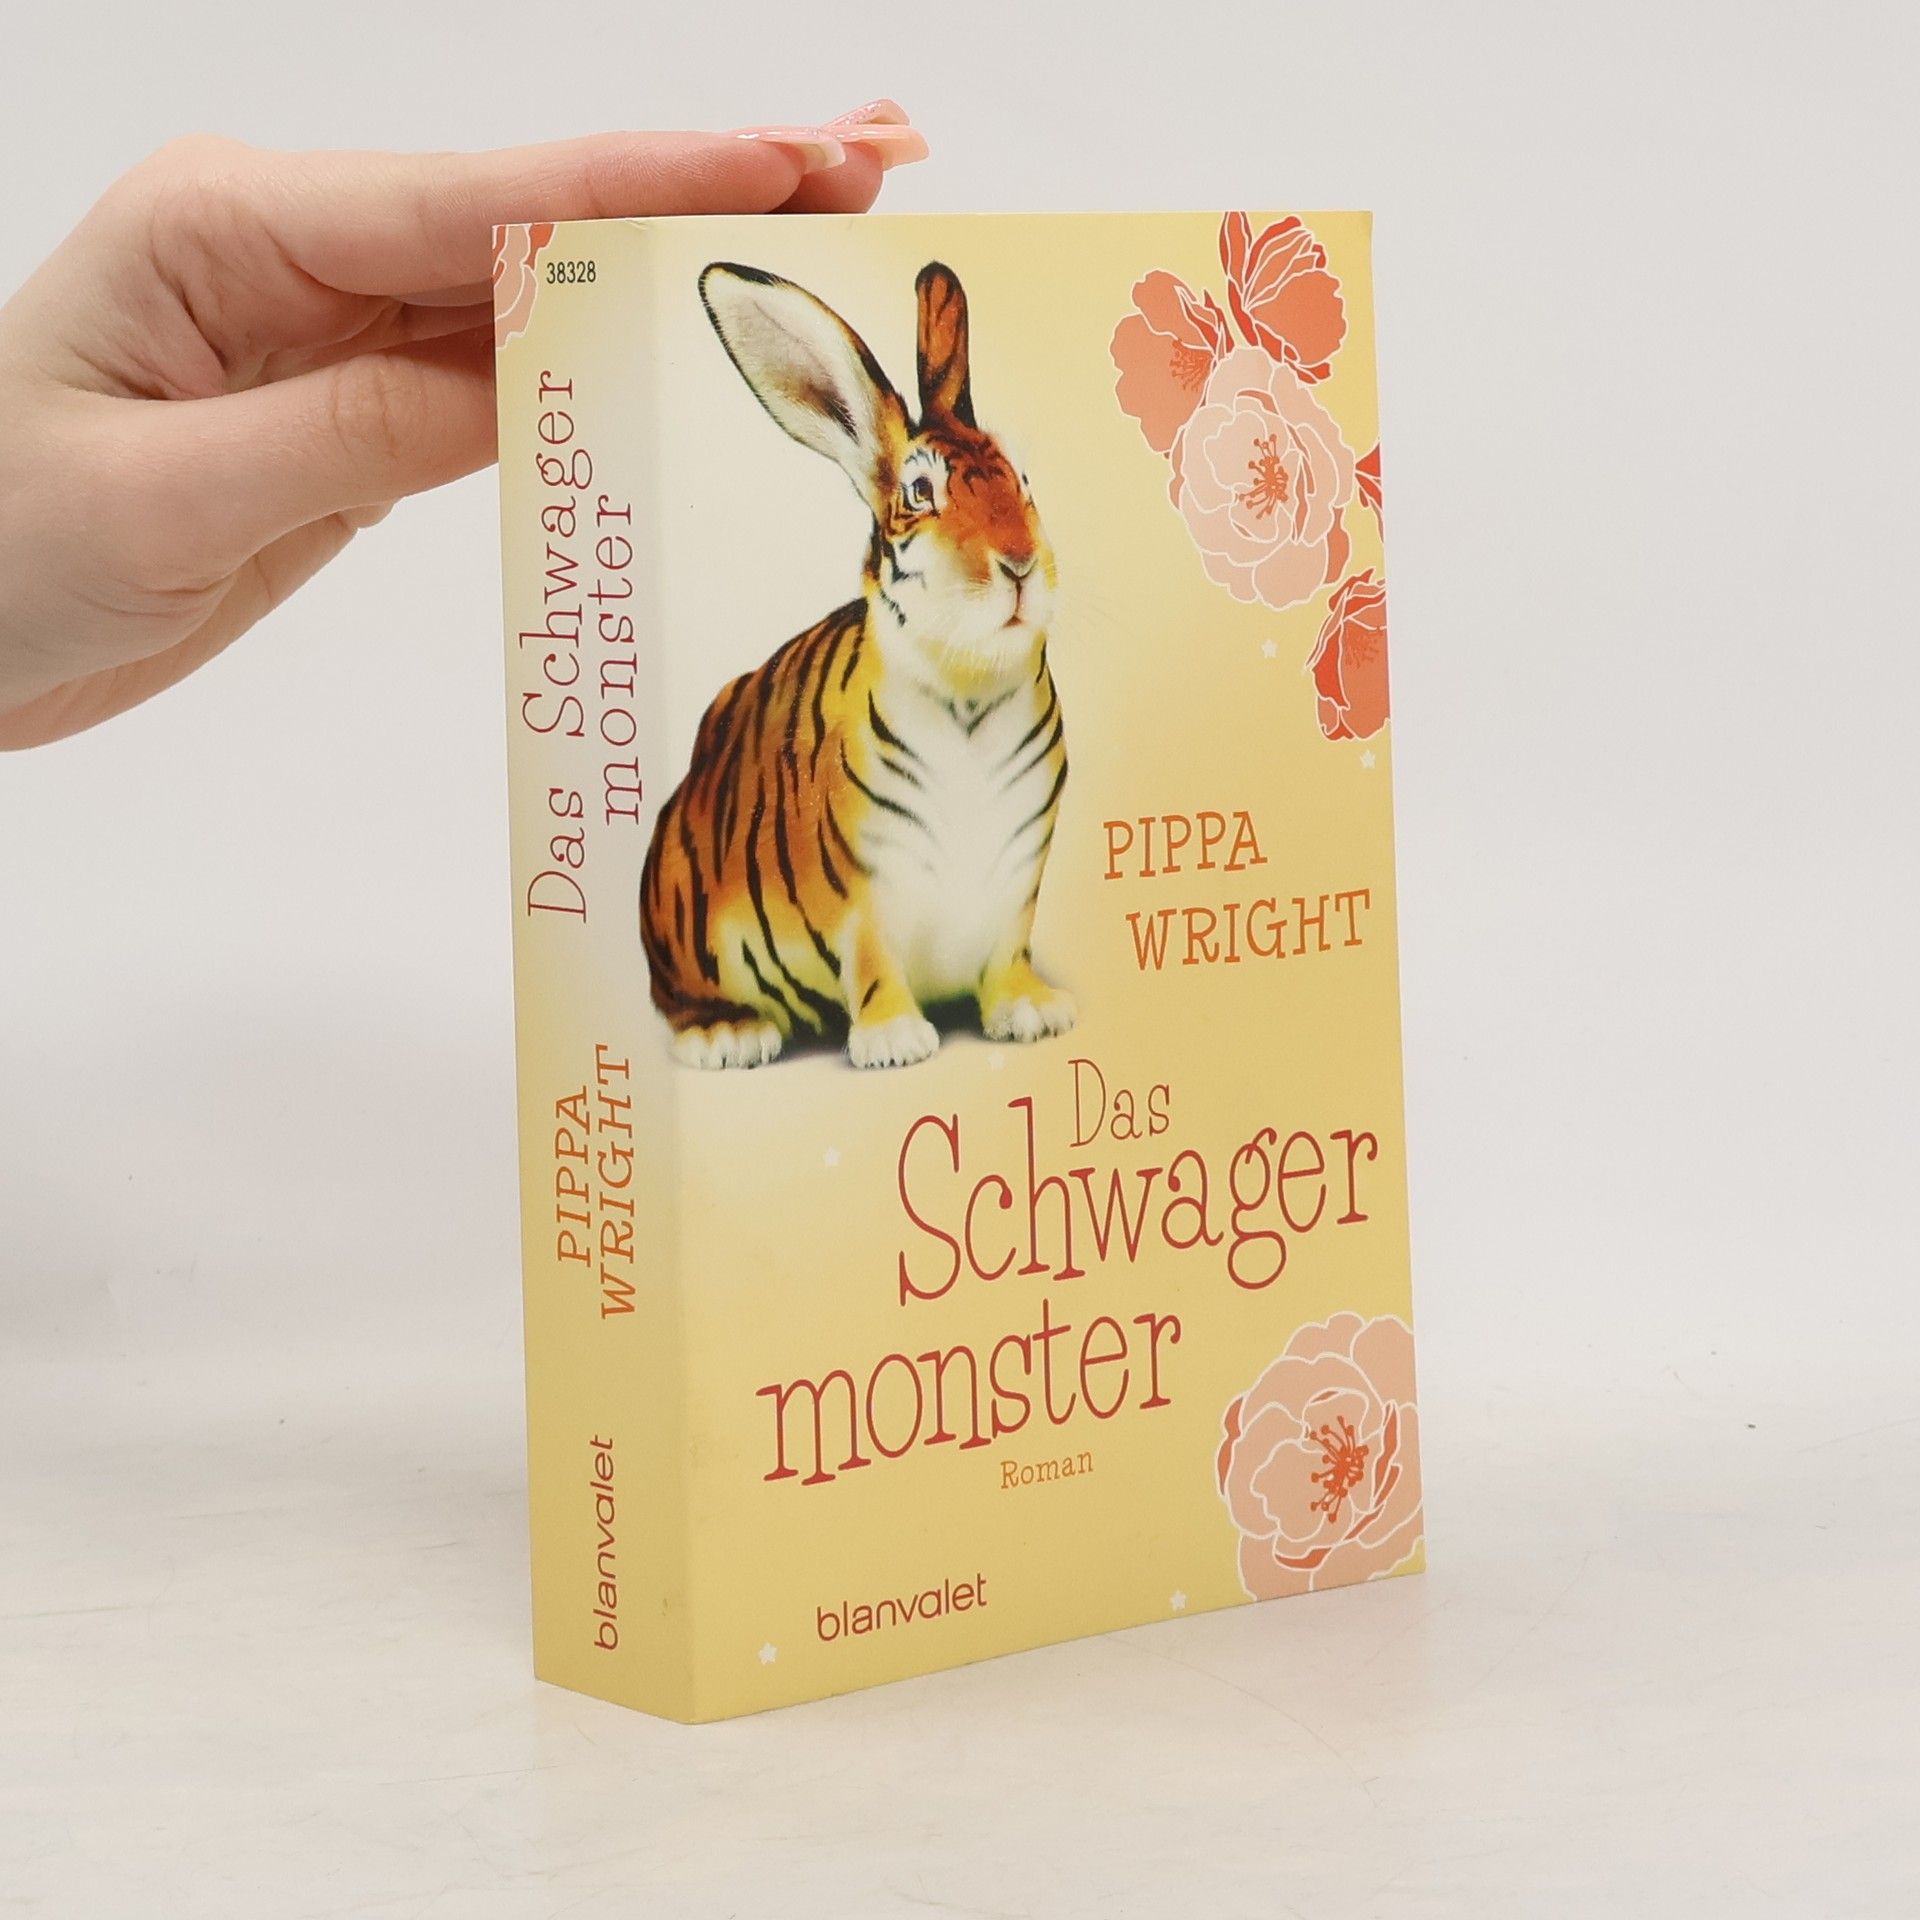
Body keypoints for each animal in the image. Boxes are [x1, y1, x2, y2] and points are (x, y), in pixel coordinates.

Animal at [639, 259, 1074, 1070]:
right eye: (920, 491)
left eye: (1025, 481)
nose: (1020, 564)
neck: (970, 693)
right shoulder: (857, 884)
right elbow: (871, 958)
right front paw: (896, 1041)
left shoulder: (1018, 875)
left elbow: (1008, 951)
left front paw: (1031, 1012)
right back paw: (727, 1036)